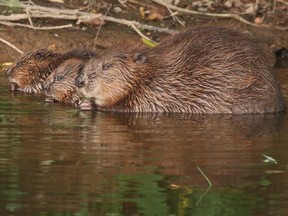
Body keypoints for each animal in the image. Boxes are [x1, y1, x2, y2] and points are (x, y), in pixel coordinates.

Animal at [75, 26, 284, 114]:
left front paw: (88, 105)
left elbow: (130, 108)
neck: (153, 75)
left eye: (107, 66)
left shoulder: (155, 95)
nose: (80, 80)